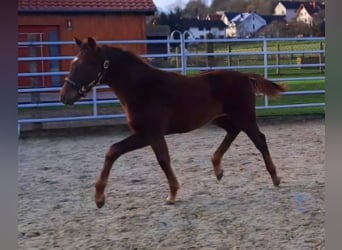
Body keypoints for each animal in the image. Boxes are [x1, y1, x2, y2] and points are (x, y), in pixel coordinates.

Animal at [60, 37, 288, 209]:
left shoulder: (149, 133)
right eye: (73, 63)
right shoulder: (150, 135)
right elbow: (160, 159)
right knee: (233, 131)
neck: (141, 88)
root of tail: (244, 76)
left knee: (260, 140)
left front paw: (100, 198)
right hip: (219, 118)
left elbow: (118, 151)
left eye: (85, 64)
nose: (64, 96)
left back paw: (275, 177)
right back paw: (217, 168)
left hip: (245, 116)